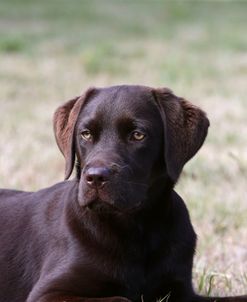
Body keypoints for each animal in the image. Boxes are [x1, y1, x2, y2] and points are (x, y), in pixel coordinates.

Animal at [0, 85, 246, 302]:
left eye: (137, 135)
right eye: (85, 134)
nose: (96, 177)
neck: (138, 228)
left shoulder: (181, 291)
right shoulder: (48, 293)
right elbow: (121, 298)